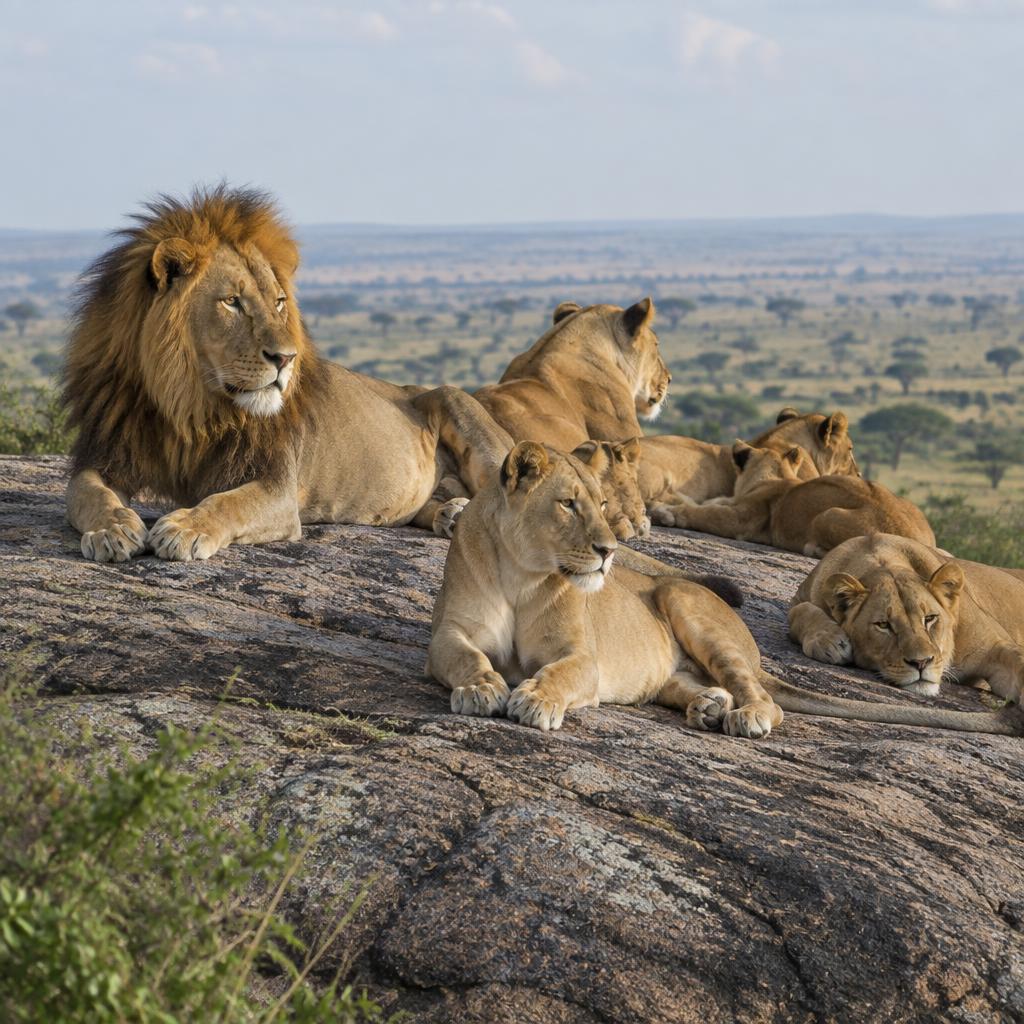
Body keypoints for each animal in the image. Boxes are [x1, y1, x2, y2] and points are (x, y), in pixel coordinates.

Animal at [63, 186, 513, 562]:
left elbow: (227, 502)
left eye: (278, 302)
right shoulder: (108, 452)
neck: (189, 404)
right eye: (233, 301)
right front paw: (113, 529)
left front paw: (184, 527)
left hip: (457, 404)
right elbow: (86, 492)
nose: (286, 358)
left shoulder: (277, 487)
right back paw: (453, 514)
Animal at [653, 441, 934, 556]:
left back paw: (813, 549)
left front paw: (663, 512)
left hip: (827, 514)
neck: (772, 476)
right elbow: (708, 502)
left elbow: (703, 512)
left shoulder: (741, 520)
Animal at [789, 534, 1024, 711]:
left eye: (930, 618)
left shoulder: (994, 648)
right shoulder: (801, 597)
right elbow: (799, 611)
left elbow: (1018, 661)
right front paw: (830, 642)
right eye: (884, 625)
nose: (921, 663)